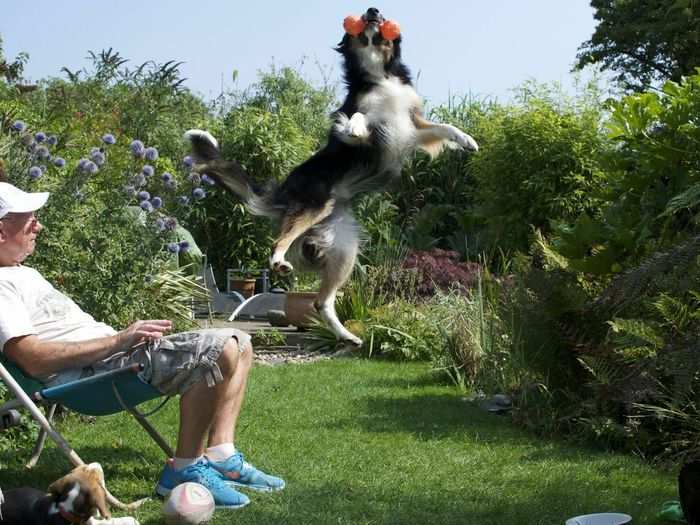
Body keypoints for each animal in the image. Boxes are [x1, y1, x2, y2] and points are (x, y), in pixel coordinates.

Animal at [183, 7, 478, 348]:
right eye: (362, 21)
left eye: (378, 16)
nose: (373, 10)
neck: (378, 75)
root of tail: (283, 192)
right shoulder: (375, 127)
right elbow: (357, 118)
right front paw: (353, 127)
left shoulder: (411, 124)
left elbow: (444, 127)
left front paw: (468, 140)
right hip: (315, 206)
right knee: (279, 243)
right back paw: (279, 262)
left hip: (344, 247)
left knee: (320, 301)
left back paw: (349, 336)